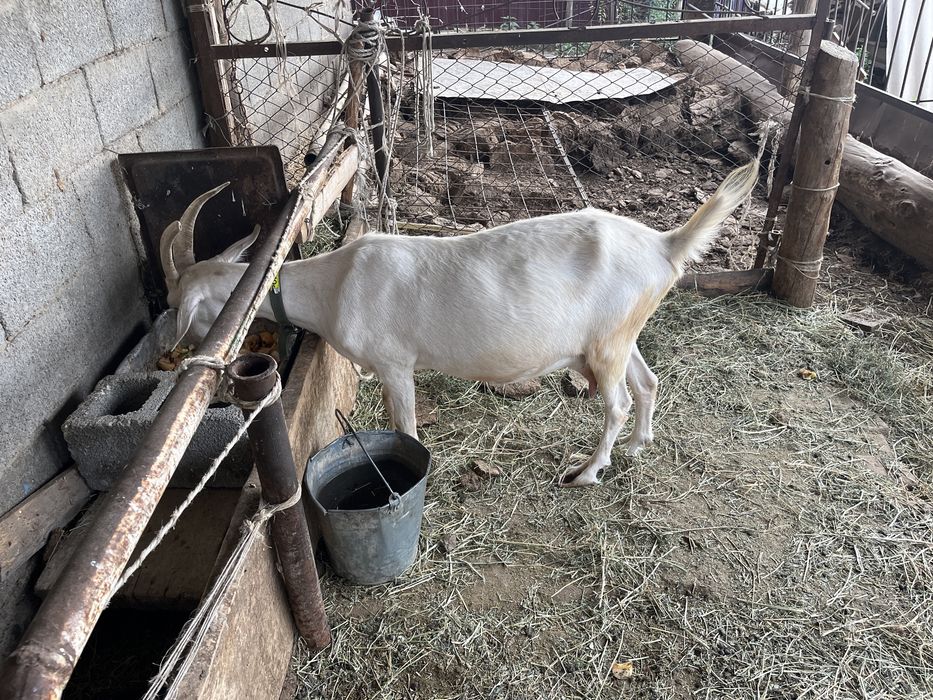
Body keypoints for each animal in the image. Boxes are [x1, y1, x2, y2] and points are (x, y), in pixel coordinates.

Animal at [161, 160, 758, 487]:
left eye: (178, 301)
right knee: (647, 382)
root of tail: (665, 246)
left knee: (617, 402)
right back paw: (637, 447)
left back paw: (588, 472)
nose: (176, 354)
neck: (335, 284)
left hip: (607, 344)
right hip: (616, 334)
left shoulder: (395, 363)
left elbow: (404, 426)